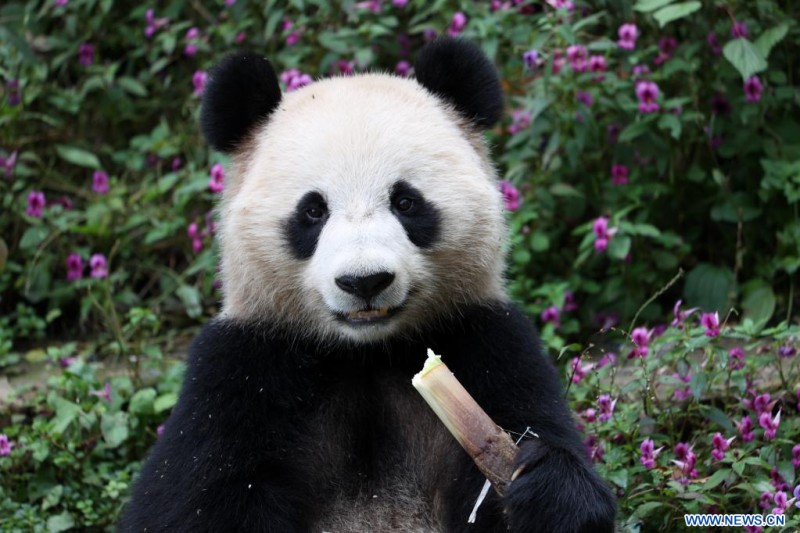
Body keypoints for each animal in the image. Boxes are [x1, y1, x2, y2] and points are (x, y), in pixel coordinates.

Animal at [120, 38, 616, 532]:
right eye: (313, 211)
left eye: (406, 202)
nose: (365, 281)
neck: (366, 353)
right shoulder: (243, 372)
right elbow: (187, 503)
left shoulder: (487, 344)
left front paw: (544, 488)